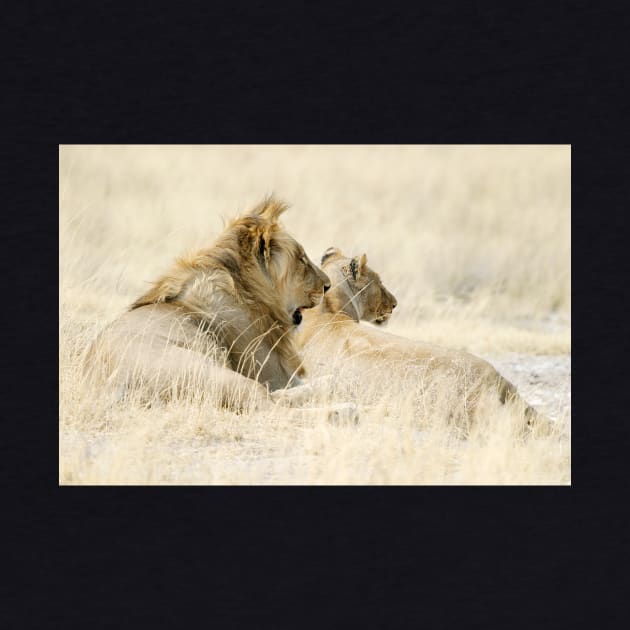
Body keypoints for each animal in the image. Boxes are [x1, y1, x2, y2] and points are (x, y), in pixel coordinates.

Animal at [84, 198, 356, 414]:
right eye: (301, 259)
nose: (327, 285)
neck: (247, 289)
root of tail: (108, 388)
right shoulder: (271, 372)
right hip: (212, 372)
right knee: (270, 406)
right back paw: (344, 411)